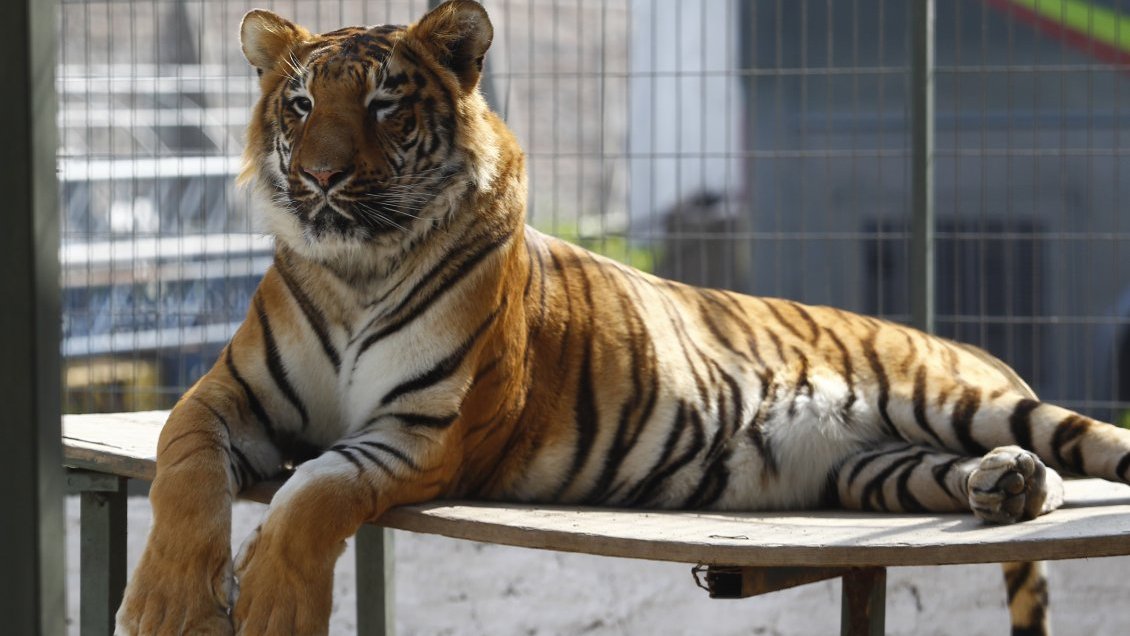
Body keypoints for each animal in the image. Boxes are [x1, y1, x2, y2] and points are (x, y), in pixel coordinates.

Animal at [114, 2, 1130, 634]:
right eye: (298, 105)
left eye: (383, 104)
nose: (321, 176)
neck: (355, 268)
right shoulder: (223, 396)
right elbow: (182, 472)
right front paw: (168, 607)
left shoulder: (420, 432)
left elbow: (314, 494)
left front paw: (271, 608)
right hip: (873, 468)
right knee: (990, 475)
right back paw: (1008, 487)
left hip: (949, 398)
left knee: (1090, 441)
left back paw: (1026, 472)